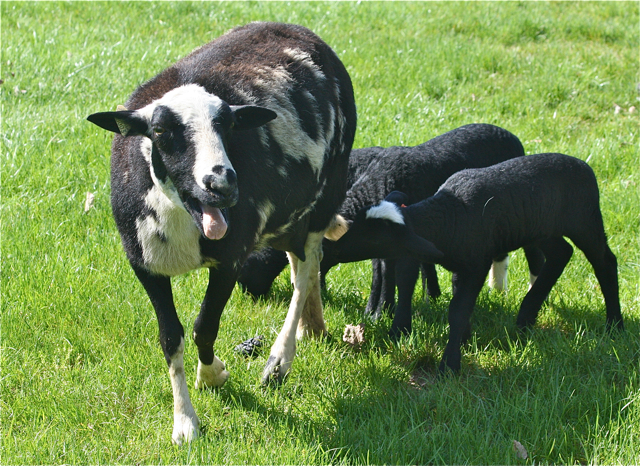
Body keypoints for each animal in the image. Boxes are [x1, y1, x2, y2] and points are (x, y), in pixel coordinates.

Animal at [87, 22, 357, 444]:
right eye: (160, 130)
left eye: (228, 125)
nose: (223, 184)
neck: (182, 216)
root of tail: (298, 29)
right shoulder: (145, 265)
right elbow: (170, 337)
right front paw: (184, 422)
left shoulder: (231, 258)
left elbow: (204, 328)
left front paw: (212, 377)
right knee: (301, 265)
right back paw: (312, 327)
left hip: (327, 190)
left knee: (306, 268)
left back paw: (280, 359)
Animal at [240, 124, 539, 338]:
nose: (248, 297)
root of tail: (513, 137)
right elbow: (381, 271)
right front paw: (376, 310)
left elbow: (390, 273)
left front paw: (382, 310)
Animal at [330, 153, 623, 374]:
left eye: (373, 237)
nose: (336, 244)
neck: (449, 216)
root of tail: (584, 165)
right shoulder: (460, 267)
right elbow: (452, 301)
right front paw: (464, 340)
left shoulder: (476, 265)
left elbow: (458, 310)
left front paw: (450, 363)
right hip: (541, 228)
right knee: (561, 253)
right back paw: (526, 316)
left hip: (585, 220)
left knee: (605, 262)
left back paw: (615, 324)